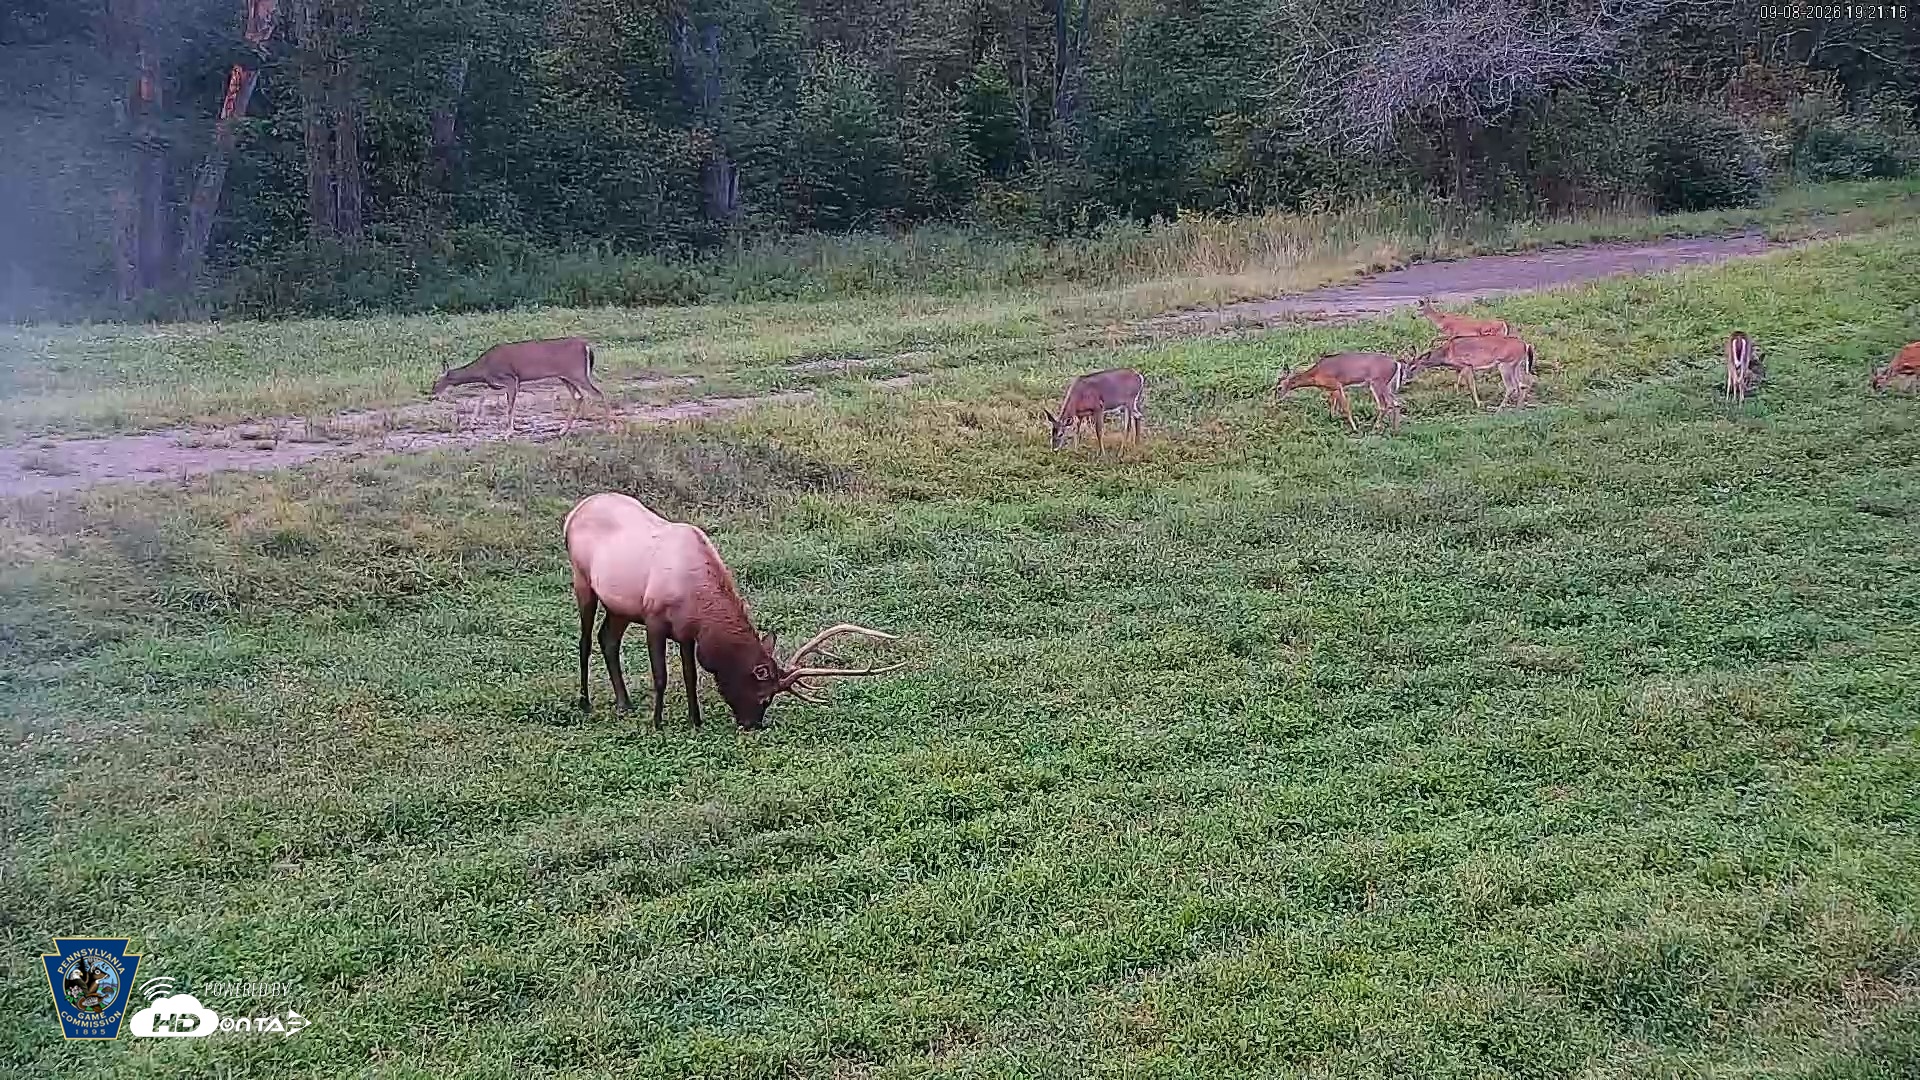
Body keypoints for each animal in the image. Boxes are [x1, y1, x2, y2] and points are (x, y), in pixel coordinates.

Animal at [431, 336, 609, 436]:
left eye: (436, 382)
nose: (432, 393)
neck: (483, 368)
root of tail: (587, 346)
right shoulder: (496, 382)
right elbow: (483, 396)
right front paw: (473, 422)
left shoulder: (511, 378)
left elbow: (510, 406)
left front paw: (508, 432)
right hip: (566, 377)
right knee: (579, 396)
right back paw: (562, 431)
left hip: (577, 373)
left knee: (598, 394)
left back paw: (610, 427)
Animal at [564, 492, 904, 731]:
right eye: (765, 696)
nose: (751, 725)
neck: (696, 598)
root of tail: (572, 514)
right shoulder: (655, 620)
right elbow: (661, 676)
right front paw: (658, 723)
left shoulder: (686, 632)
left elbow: (690, 676)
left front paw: (695, 721)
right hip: (583, 582)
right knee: (585, 642)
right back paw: (585, 702)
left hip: (619, 605)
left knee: (608, 639)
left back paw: (623, 703)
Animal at [1272, 351, 1405, 434]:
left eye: (1279, 387)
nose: (1276, 400)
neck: (1316, 374)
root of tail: (1396, 363)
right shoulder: (1333, 388)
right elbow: (1332, 403)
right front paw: (1332, 418)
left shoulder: (1337, 385)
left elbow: (1345, 407)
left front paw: (1354, 428)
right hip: (1387, 385)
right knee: (1396, 403)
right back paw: (1395, 430)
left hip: (1377, 383)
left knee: (1384, 405)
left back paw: (1373, 428)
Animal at [1403, 334, 1537, 410]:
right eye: (1406, 366)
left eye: (1413, 367)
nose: (1406, 379)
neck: (1447, 353)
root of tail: (1526, 345)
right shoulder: (1462, 367)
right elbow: (1459, 381)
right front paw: (1456, 395)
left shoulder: (1467, 365)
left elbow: (1471, 385)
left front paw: (1478, 404)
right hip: (1516, 365)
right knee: (1524, 382)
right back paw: (1518, 407)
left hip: (1505, 364)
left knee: (1512, 386)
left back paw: (1498, 409)